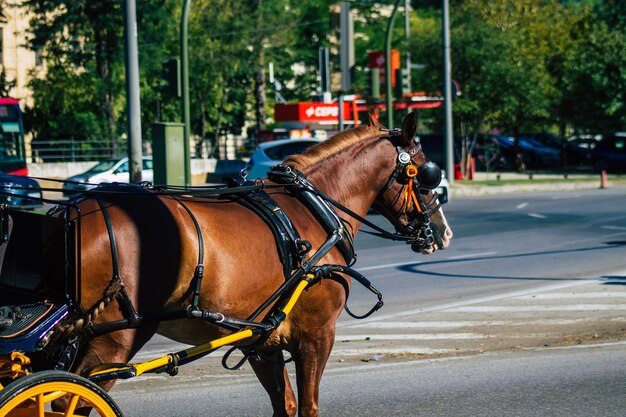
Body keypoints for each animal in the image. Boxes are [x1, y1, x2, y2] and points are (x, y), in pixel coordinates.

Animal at [56, 112, 450, 414]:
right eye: (425, 173)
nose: (443, 232)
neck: (313, 209)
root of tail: (72, 211)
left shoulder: (263, 342)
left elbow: (285, 405)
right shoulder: (317, 335)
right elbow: (308, 407)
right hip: (116, 335)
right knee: (70, 399)